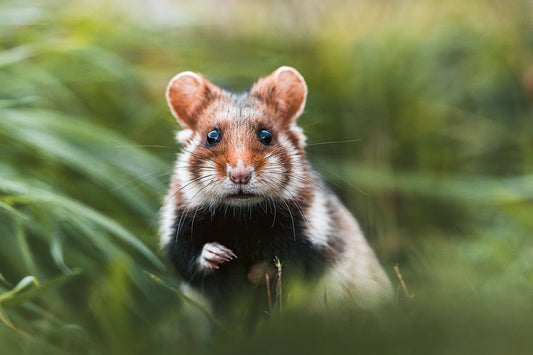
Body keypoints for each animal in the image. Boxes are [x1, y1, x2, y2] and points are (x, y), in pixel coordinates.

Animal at [158, 66, 390, 314]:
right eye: (212, 136)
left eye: (266, 136)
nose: (240, 175)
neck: (242, 217)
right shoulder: (177, 231)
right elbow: (190, 258)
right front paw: (219, 255)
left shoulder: (314, 236)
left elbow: (290, 262)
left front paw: (257, 273)